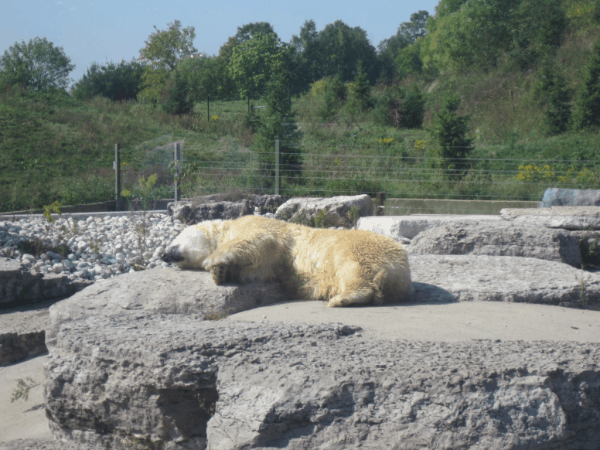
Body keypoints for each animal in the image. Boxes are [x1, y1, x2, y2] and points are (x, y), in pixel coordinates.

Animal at [161, 216, 412, 308]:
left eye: (174, 239)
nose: (163, 255)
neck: (226, 228)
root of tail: (401, 272)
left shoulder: (258, 225)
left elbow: (256, 241)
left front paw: (214, 260)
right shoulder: (270, 265)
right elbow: (256, 268)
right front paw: (221, 273)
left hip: (358, 247)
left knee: (352, 267)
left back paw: (343, 298)